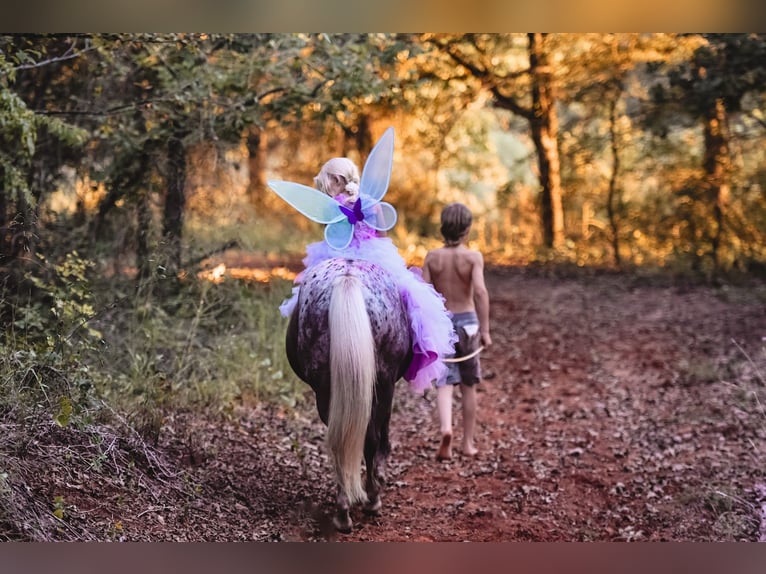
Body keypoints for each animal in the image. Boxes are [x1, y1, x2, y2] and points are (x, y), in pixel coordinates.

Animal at [284, 258, 414, 536]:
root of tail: (348, 276)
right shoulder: (388, 388)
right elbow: (382, 439)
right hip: (382, 384)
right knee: (370, 438)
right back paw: (371, 500)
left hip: (326, 389)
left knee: (339, 442)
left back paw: (343, 511)